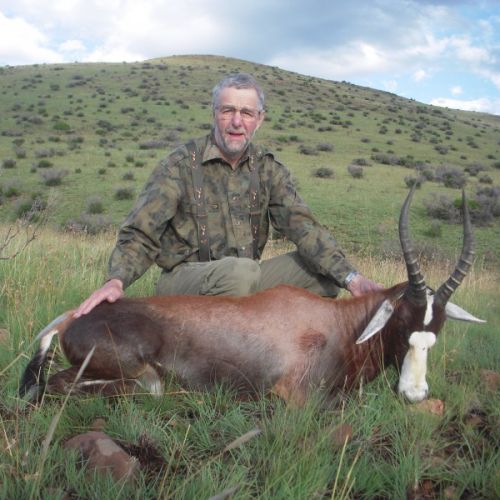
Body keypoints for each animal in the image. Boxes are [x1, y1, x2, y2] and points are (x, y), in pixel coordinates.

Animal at [20, 188, 485, 405]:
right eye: (402, 321)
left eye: (437, 328)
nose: (415, 394)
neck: (340, 326)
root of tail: (68, 319)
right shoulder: (295, 397)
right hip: (132, 374)